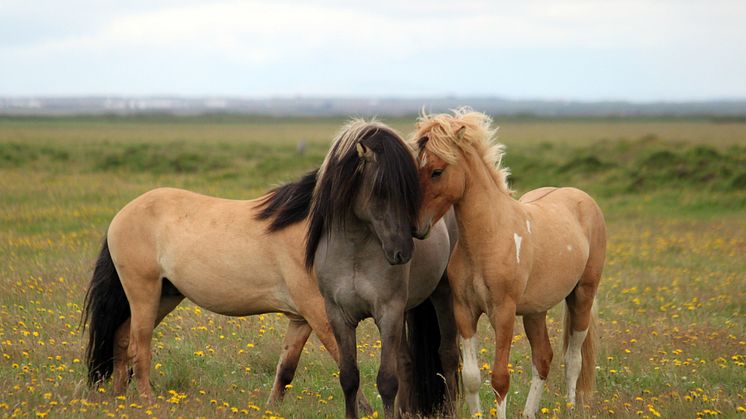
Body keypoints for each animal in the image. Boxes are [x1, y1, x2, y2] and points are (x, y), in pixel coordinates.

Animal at [292, 120, 460, 418]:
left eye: (412, 191)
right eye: (380, 191)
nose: (403, 251)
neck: (355, 252)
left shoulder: (388, 313)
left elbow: (387, 380)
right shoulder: (338, 315)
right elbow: (349, 377)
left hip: (442, 295)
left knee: (448, 355)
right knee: (406, 361)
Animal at [410, 109, 608, 419]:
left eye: (437, 171)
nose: (417, 228)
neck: (488, 238)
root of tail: (582, 198)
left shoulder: (503, 313)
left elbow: (500, 378)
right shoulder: (464, 311)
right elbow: (472, 377)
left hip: (582, 295)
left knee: (573, 359)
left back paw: (570, 408)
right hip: (535, 311)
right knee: (543, 357)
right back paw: (529, 413)